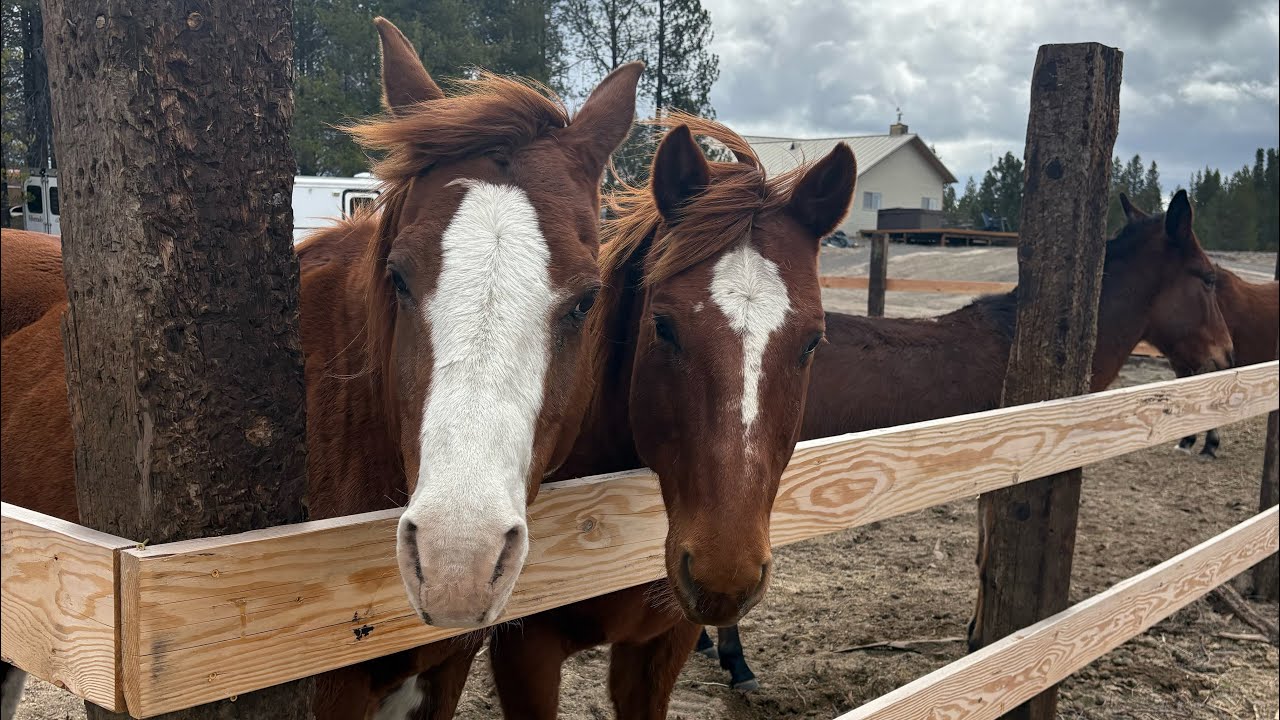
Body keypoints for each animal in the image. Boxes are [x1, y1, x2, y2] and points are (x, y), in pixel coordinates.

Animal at [695, 189, 1237, 690]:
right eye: (1208, 278)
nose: (1226, 356)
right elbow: (987, 557)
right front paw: (982, 640)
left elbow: (984, 554)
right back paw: (736, 662)